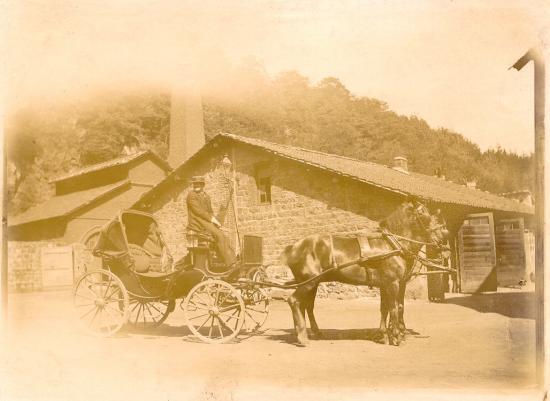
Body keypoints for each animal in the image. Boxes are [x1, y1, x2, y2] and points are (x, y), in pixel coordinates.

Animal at [282, 198, 450, 346]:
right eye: (422, 212)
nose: (443, 238)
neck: (392, 244)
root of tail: (294, 247)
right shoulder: (393, 283)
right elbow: (394, 308)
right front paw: (396, 337)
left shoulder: (387, 284)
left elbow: (385, 308)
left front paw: (383, 335)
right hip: (308, 283)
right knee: (294, 301)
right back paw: (302, 337)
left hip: (313, 283)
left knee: (307, 305)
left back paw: (310, 333)